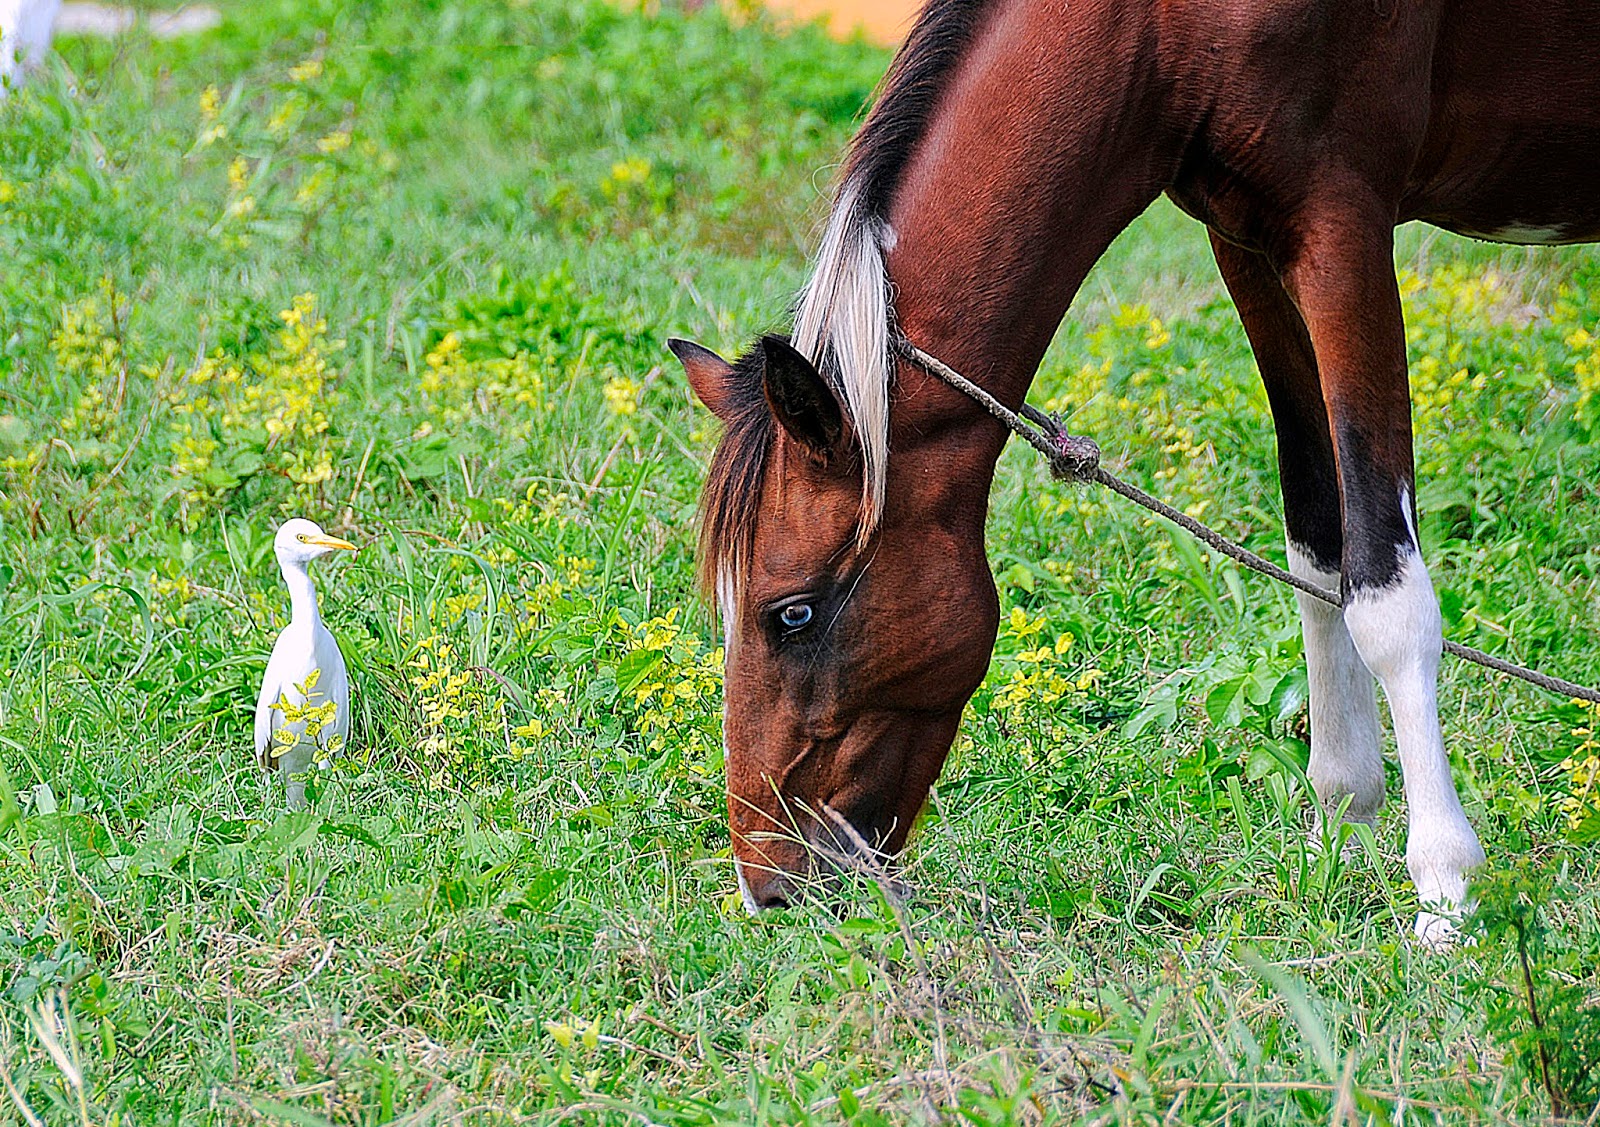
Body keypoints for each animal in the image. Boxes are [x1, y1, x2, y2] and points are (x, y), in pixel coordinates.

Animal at [667, 0, 1600, 944]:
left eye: (792, 613)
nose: (768, 890)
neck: (1163, 32)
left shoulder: (1344, 230)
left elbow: (1383, 590)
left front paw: (1445, 883)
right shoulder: (1251, 243)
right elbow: (1318, 547)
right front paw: (1342, 818)